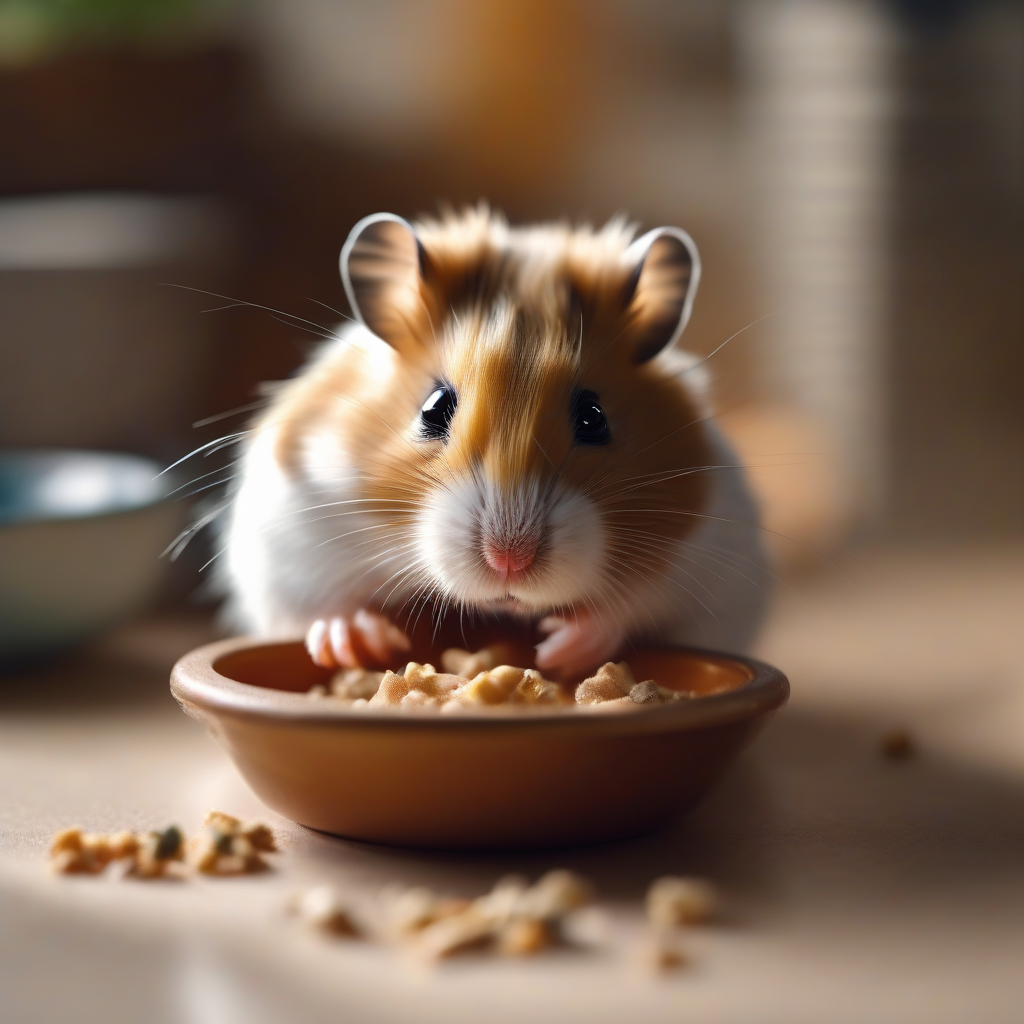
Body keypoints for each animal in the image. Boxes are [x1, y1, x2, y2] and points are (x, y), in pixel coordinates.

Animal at [222, 206, 770, 678]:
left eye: (594, 418)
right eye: (433, 409)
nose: (509, 561)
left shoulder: (715, 558)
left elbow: (633, 609)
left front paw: (560, 649)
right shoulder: (289, 530)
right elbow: (320, 604)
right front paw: (359, 641)